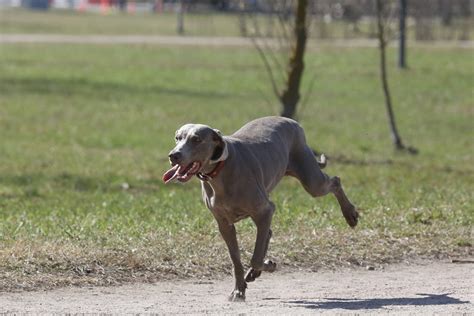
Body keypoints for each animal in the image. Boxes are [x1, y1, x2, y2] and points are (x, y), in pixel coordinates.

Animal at [164, 116, 360, 302]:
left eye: (196, 139)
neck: (219, 173)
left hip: (311, 180)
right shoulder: (225, 225)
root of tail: (290, 120)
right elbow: (236, 260)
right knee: (268, 232)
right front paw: (239, 290)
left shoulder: (265, 209)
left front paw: (268, 265)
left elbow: (256, 258)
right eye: (177, 137)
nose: (173, 155)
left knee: (335, 181)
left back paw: (350, 215)